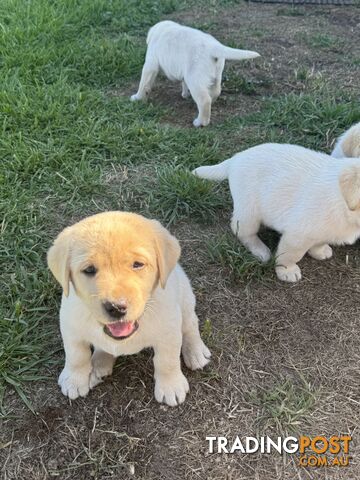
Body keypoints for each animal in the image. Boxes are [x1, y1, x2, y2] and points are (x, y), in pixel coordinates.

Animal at [47, 212, 211, 406]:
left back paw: (196, 352)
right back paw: (98, 364)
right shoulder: (70, 326)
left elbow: (167, 360)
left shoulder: (169, 331)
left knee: (190, 325)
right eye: (89, 269)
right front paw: (74, 380)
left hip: (185, 298)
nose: (116, 307)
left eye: (138, 264)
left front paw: (171, 386)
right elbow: (76, 355)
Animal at [131, 20, 260, 127]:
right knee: (215, 92)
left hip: (195, 78)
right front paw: (185, 94)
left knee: (204, 100)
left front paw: (137, 97)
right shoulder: (184, 71)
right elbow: (183, 82)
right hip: (215, 75)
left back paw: (200, 122)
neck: (162, 30)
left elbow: (144, 82)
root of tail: (214, 47)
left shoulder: (151, 64)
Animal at [194, 144, 360, 284]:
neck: (344, 204)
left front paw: (319, 250)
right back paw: (260, 250)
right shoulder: (297, 235)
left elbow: (319, 241)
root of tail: (236, 158)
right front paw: (287, 271)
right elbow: (290, 255)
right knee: (241, 231)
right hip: (249, 211)